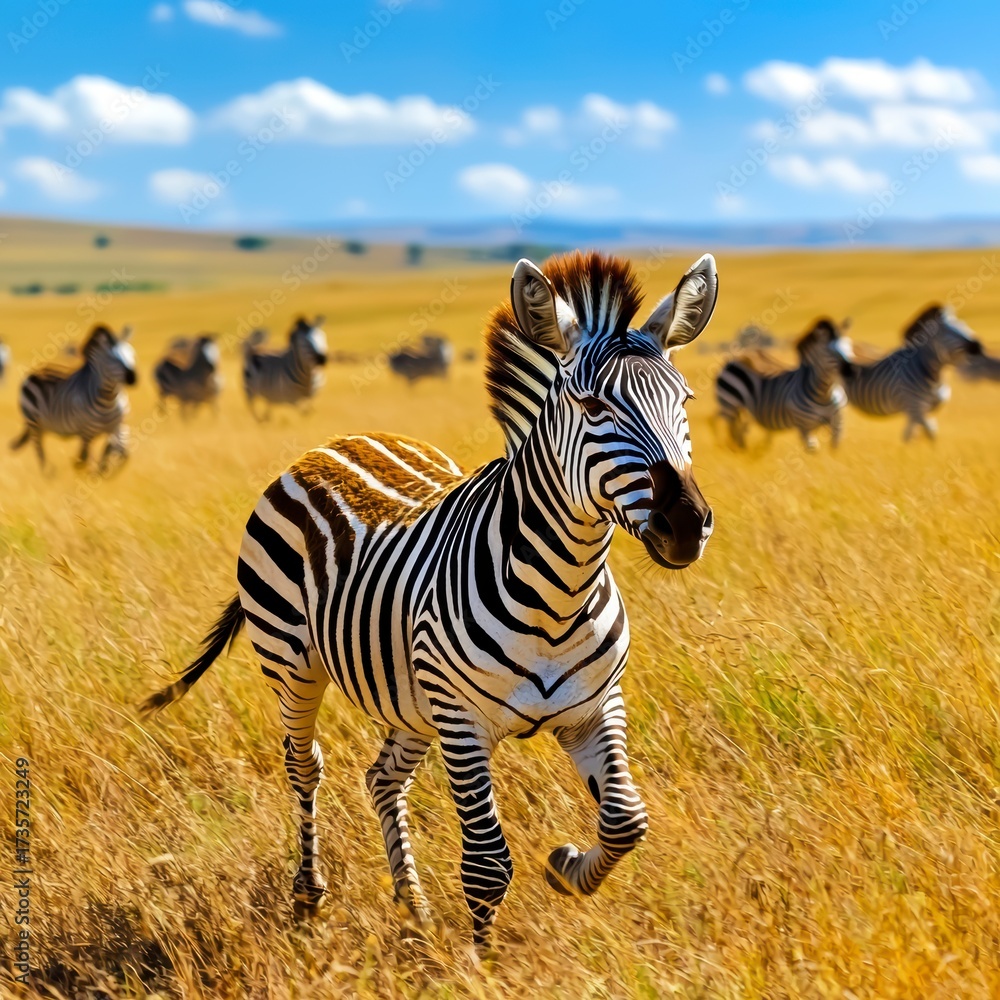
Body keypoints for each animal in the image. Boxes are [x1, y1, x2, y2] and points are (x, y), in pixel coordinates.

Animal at [11, 324, 136, 472]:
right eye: (111, 359)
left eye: (131, 353)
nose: (133, 378)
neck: (109, 400)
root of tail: (36, 372)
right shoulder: (87, 433)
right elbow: (83, 460)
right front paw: (93, 472)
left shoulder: (117, 426)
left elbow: (121, 453)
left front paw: (104, 468)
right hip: (33, 422)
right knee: (39, 450)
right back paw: (47, 473)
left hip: (44, 425)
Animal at [141, 251, 718, 954]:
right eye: (591, 405)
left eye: (685, 401)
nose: (685, 525)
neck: (560, 594)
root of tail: (338, 440)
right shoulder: (463, 723)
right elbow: (487, 862)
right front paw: (482, 963)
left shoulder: (594, 707)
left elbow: (626, 820)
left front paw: (567, 869)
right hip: (295, 662)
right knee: (305, 768)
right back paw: (308, 898)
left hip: (411, 700)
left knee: (382, 778)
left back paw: (412, 908)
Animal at [715, 318, 853, 450]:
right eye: (831, 351)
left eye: (849, 347)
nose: (851, 370)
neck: (824, 393)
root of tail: (735, 359)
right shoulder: (805, 426)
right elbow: (813, 451)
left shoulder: (838, 425)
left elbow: (835, 449)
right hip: (730, 406)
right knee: (731, 431)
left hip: (742, 411)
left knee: (739, 432)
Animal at [843, 305, 983, 440]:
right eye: (948, 331)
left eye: (963, 324)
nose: (976, 346)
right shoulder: (915, 408)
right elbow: (929, 434)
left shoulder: (920, 412)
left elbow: (912, 435)